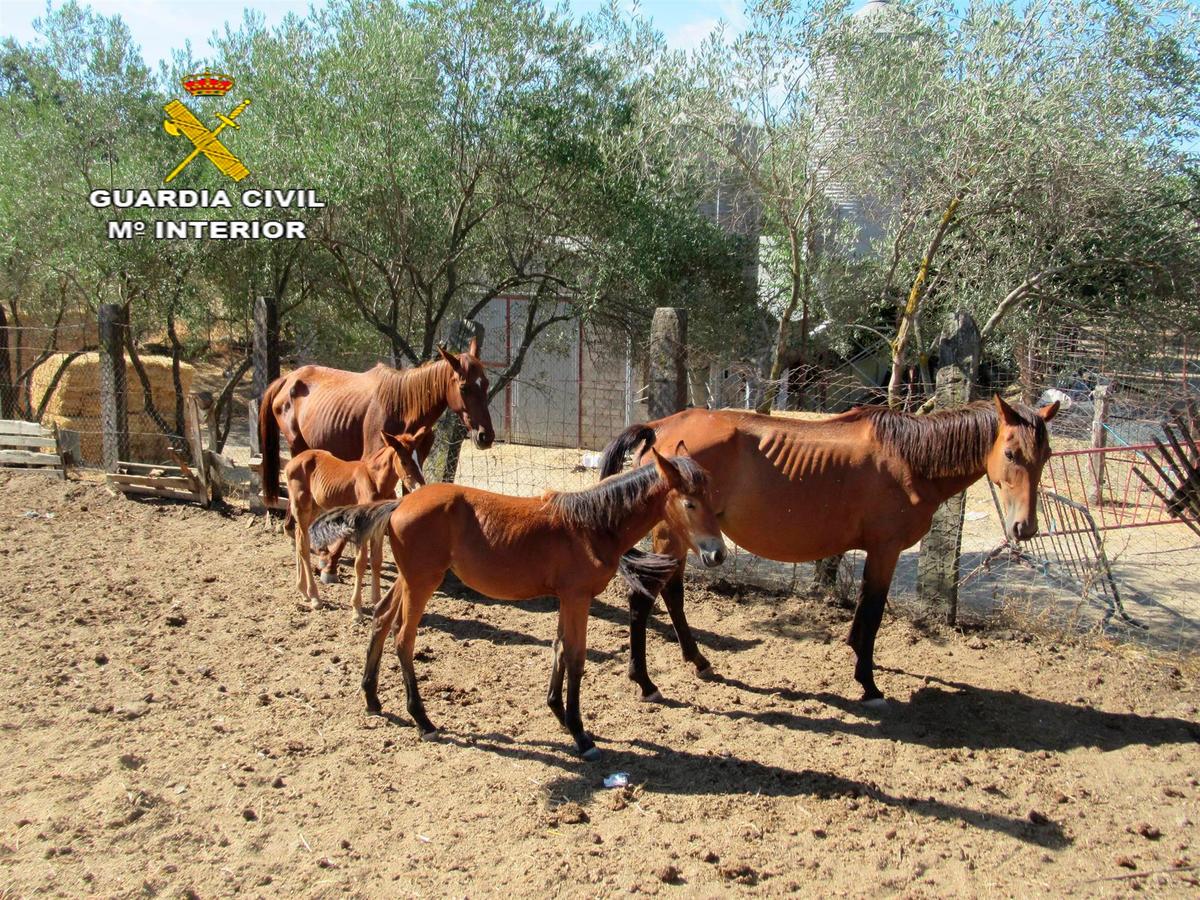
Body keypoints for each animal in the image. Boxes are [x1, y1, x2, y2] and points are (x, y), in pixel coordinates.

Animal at [260, 336, 494, 578]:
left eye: (486, 383)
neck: (404, 407)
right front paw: (331, 564)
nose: (485, 435)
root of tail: (287, 378)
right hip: (297, 445)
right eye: (464, 387)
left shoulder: (410, 467)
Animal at [284, 427, 427, 619]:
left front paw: (377, 602)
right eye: (403, 461)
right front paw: (357, 609)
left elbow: (376, 560)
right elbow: (360, 563)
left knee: (300, 539)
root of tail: (292, 462)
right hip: (301, 507)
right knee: (303, 546)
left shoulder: (379, 527)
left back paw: (303, 590)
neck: (376, 482)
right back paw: (315, 597)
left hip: (315, 508)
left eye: (419, 460)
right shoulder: (362, 527)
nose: (420, 487)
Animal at [309, 444, 724, 763]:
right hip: (422, 582)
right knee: (403, 638)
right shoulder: (577, 598)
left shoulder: (566, 599)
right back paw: (423, 720)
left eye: (714, 501)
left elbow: (559, 649)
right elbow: (576, 657)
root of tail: (398, 504)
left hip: (410, 580)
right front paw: (581, 735)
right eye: (689, 503)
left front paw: (558, 713)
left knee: (380, 619)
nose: (717, 554)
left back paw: (372, 699)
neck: (591, 526)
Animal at [600, 398, 1060, 710]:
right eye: (1010, 453)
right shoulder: (885, 549)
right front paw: (869, 684)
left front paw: (857, 655)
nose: (1025, 528)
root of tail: (660, 428)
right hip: (670, 537)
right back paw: (645, 682)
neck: (908, 458)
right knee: (643, 600)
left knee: (672, 596)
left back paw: (697, 660)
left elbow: (863, 612)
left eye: (1046, 456)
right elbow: (872, 613)